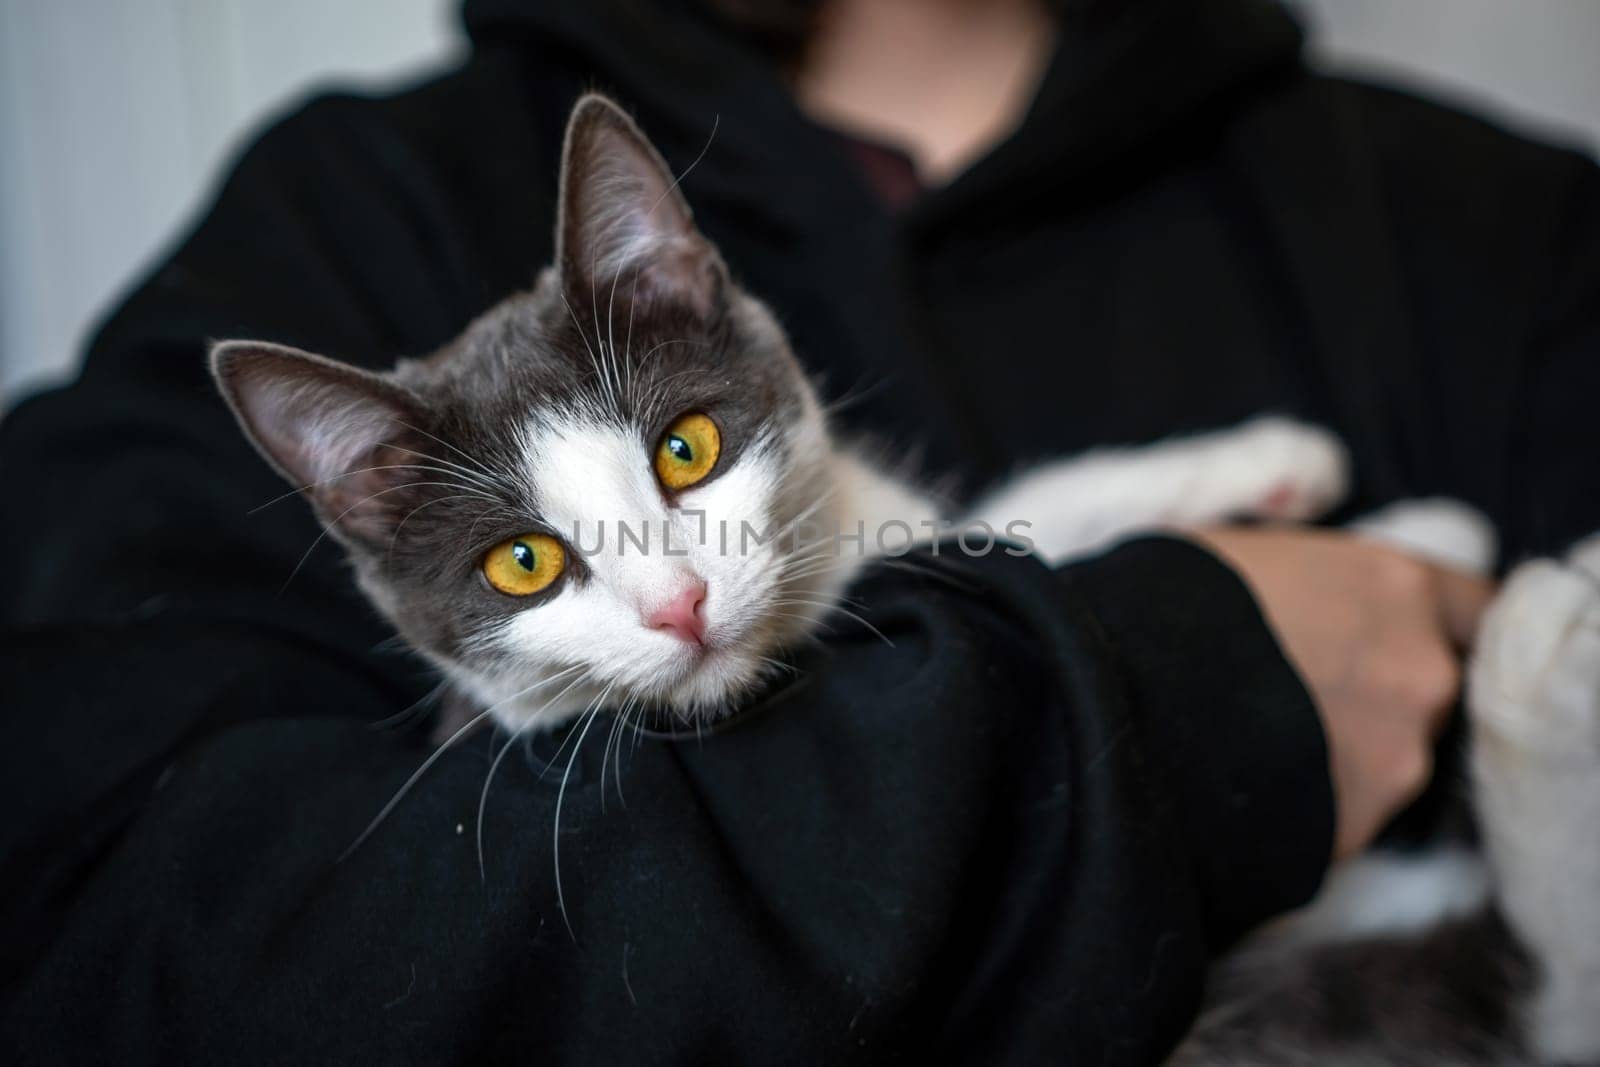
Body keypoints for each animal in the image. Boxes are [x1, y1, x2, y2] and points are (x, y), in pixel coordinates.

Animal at [212, 93, 1600, 1067]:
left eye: (686, 447)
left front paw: (1293, 476)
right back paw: (1546, 644)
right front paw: (1412, 533)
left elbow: (1011, 523)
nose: (680, 605)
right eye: (523, 563)